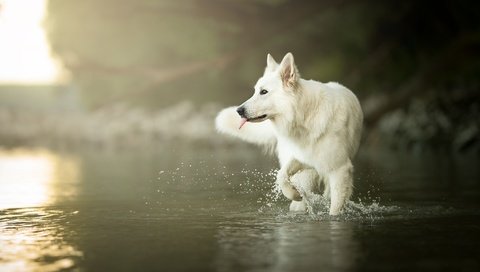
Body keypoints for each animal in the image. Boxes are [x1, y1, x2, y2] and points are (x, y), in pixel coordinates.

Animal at [216, 52, 362, 215]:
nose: (239, 111)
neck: (305, 117)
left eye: (264, 92)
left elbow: (335, 209)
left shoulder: (339, 170)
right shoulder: (301, 158)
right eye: (255, 91)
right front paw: (295, 193)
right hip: (305, 173)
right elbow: (281, 175)